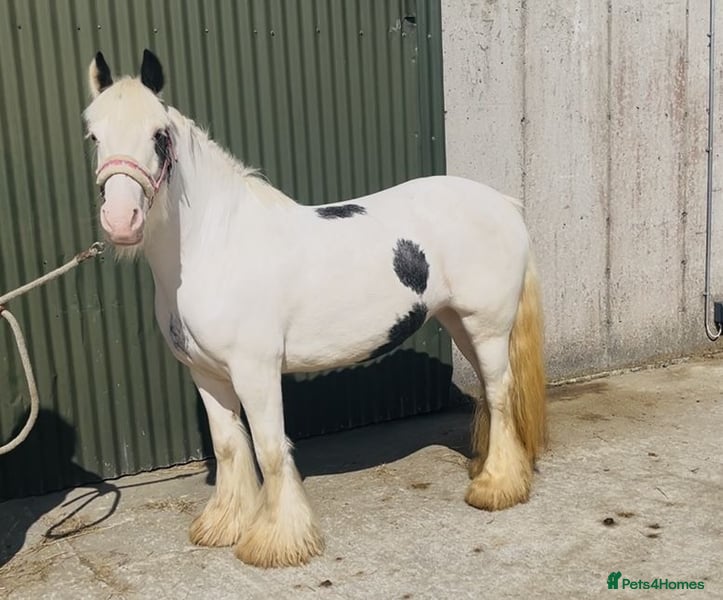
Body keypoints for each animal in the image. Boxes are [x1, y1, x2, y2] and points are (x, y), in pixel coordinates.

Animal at [83, 50, 546, 568]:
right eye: (94, 134)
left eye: (159, 135)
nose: (121, 221)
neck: (215, 246)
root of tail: (503, 203)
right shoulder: (206, 373)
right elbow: (228, 447)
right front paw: (224, 525)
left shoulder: (255, 370)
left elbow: (269, 450)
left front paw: (277, 542)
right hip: (460, 324)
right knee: (490, 393)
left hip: (487, 327)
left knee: (501, 395)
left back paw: (496, 488)